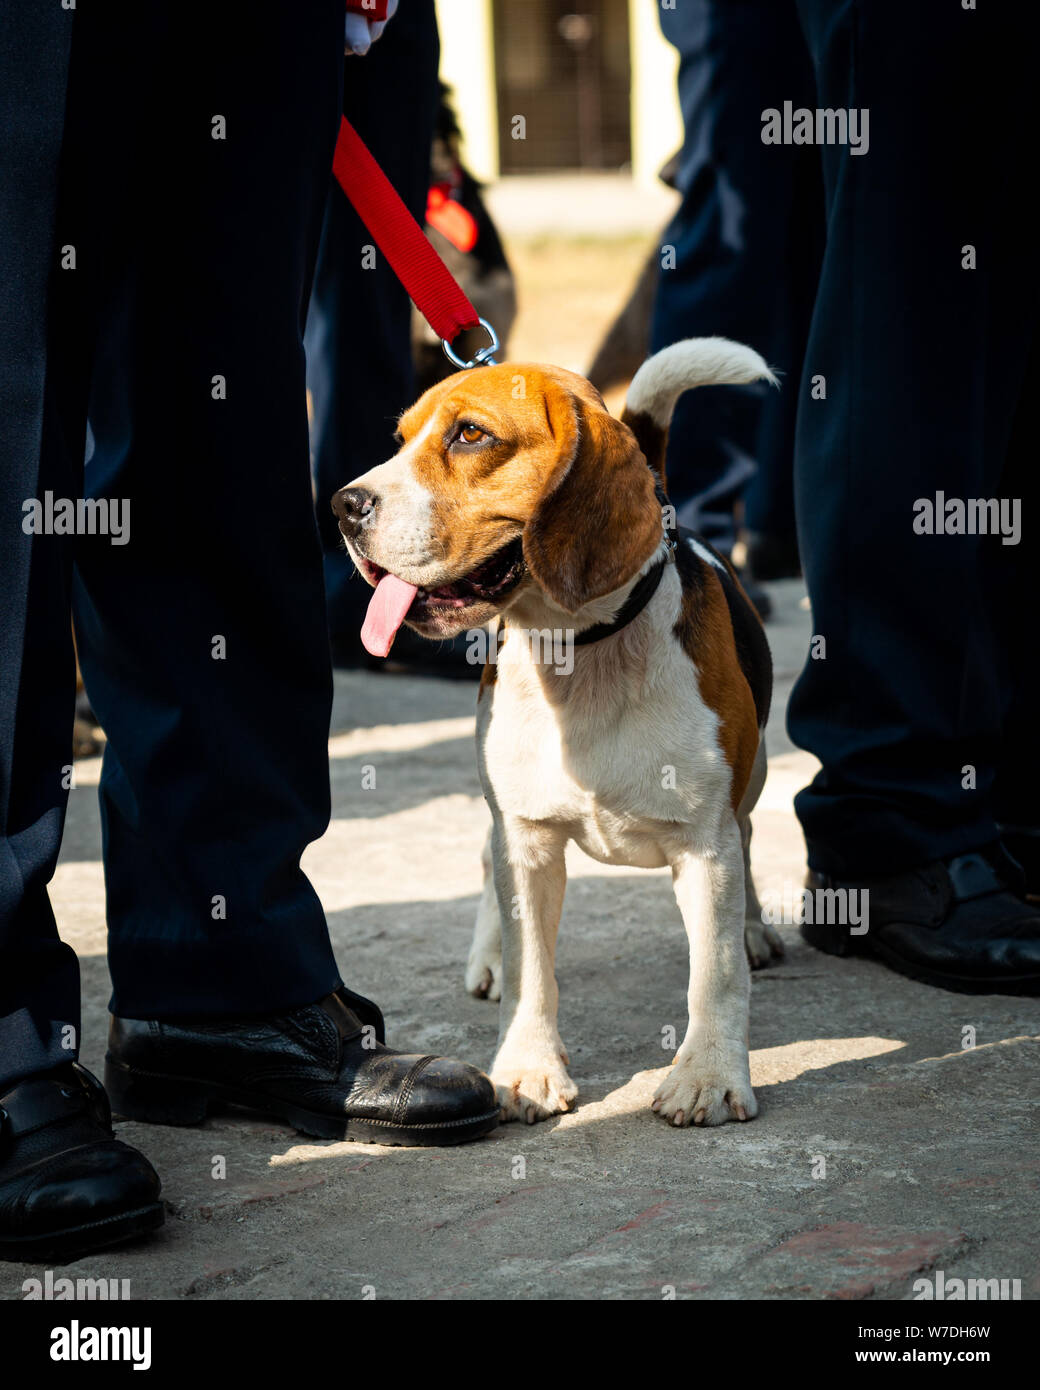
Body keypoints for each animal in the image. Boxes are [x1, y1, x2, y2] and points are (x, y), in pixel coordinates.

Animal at [337, 339, 784, 1128]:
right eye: (401, 439)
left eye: (470, 435)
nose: (341, 506)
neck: (582, 655)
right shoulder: (526, 838)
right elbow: (531, 972)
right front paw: (526, 1068)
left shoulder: (707, 843)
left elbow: (716, 973)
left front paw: (707, 1074)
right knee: (488, 869)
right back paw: (487, 954)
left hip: (751, 782)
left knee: (751, 844)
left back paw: (755, 928)